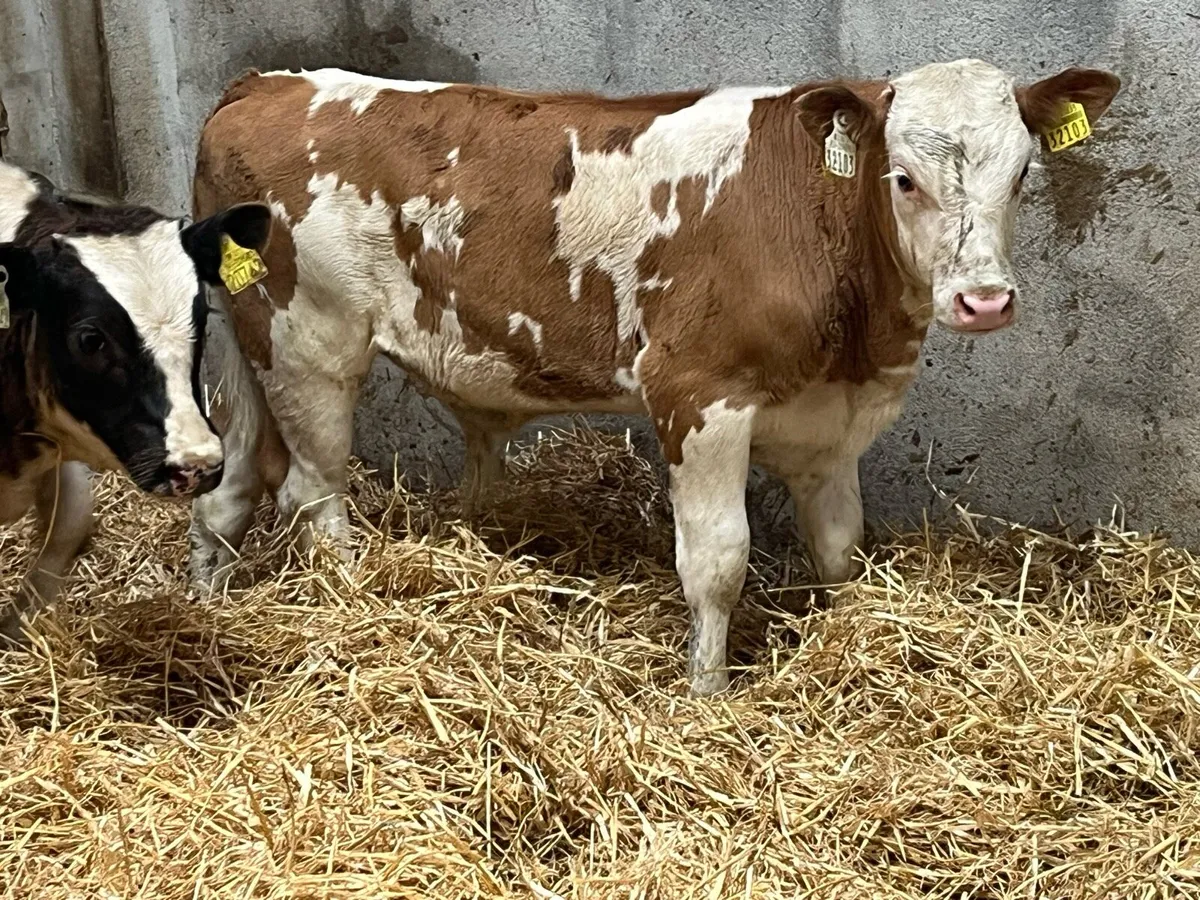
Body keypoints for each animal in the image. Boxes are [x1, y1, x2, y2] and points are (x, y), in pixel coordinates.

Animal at [188, 60, 1120, 695]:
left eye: (1024, 174)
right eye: (904, 178)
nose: (984, 299)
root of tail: (264, 85)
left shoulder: (828, 423)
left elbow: (839, 548)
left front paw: (844, 634)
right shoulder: (698, 395)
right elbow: (717, 559)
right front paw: (708, 695)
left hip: (245, 341)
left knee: (232, 481)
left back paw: (206, 600)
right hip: (309, 341)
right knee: (312, 491)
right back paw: (353, 601)